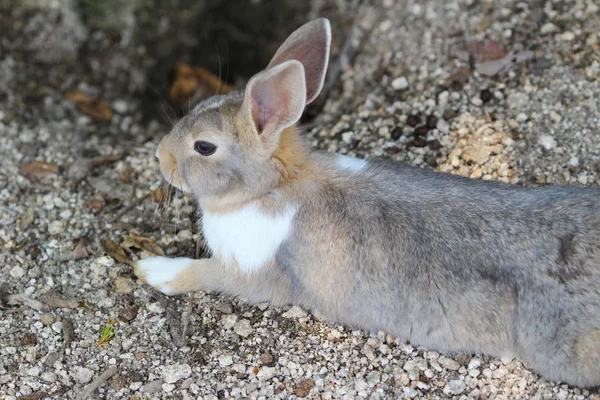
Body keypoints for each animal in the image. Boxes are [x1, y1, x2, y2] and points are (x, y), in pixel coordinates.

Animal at [134, 18, 600, 388]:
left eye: (204, 147)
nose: (159, 156)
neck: (273, 185)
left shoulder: (251, 271)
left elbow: (202, 273)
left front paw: (150, 269)